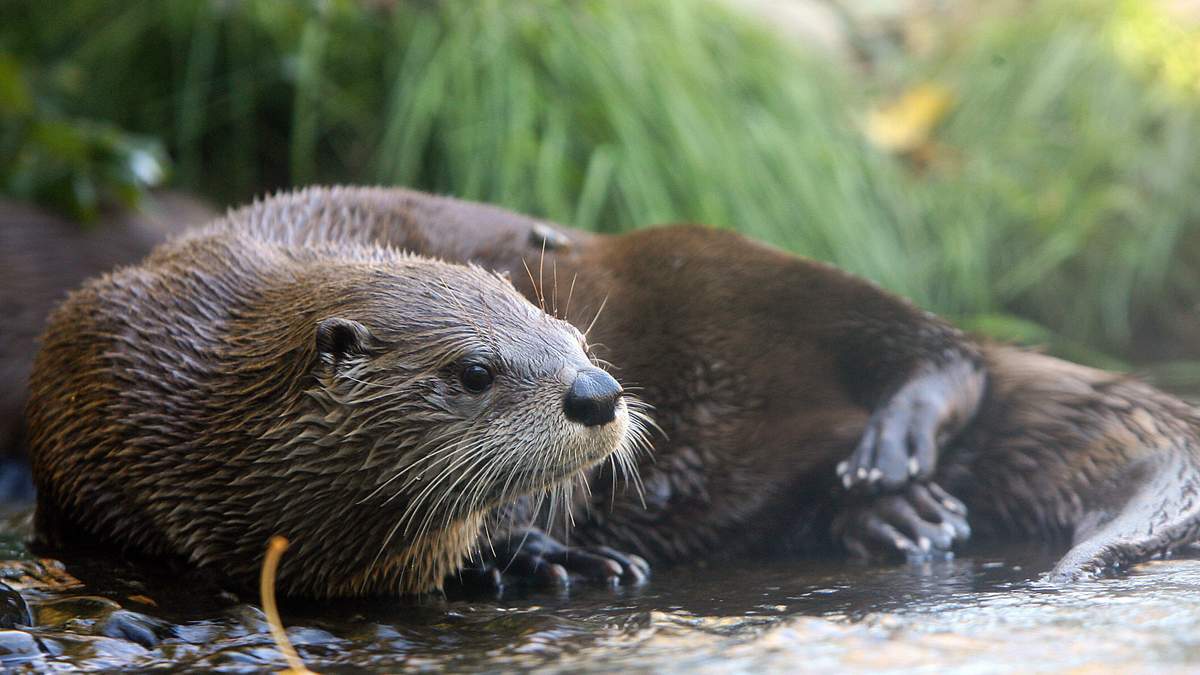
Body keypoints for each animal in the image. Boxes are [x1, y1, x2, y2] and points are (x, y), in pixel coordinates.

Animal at [198, 186, 1200, 582]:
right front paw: (539, 556)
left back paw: (893, 456)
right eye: (475, 373)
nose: (597, 391)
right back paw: (893, 515)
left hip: (727, 259)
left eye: (565, 338)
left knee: (947, 348)